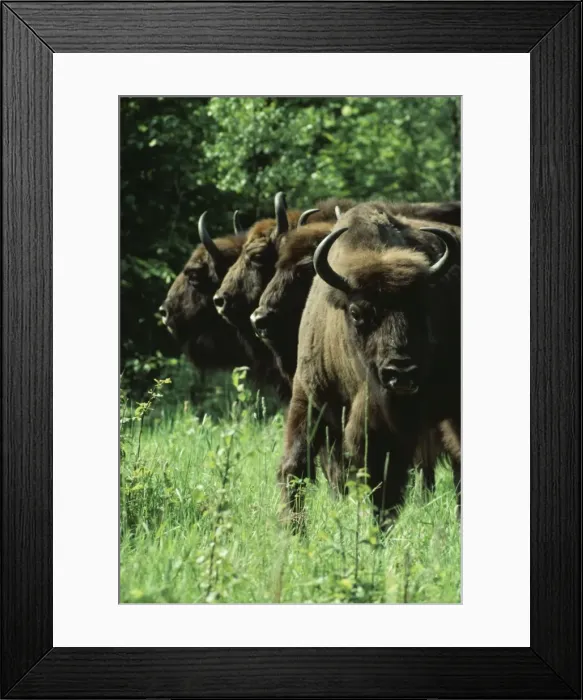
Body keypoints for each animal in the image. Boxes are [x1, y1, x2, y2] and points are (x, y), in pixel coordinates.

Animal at [278, 202, 460, 527]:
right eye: (357, 312)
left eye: (422, 309)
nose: (400, 372)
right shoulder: (309, 396)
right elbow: (295, 466)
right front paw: (293, 530)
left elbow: (382, 485)